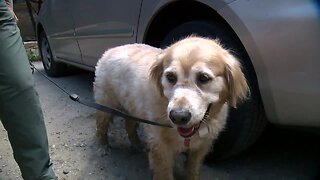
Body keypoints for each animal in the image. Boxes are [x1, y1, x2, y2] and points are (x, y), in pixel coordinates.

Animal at [94, 35, 249, 179]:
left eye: (204, 78)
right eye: (170, 77)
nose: (179, 116)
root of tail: (111, 49)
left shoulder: (201, 146)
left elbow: (193, 169)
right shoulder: (160, 146)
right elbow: (164, 172)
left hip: (132, 107)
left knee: (129, 125)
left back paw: (137, 144)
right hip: (105, 105)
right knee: (101, 126)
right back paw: (102, 146)